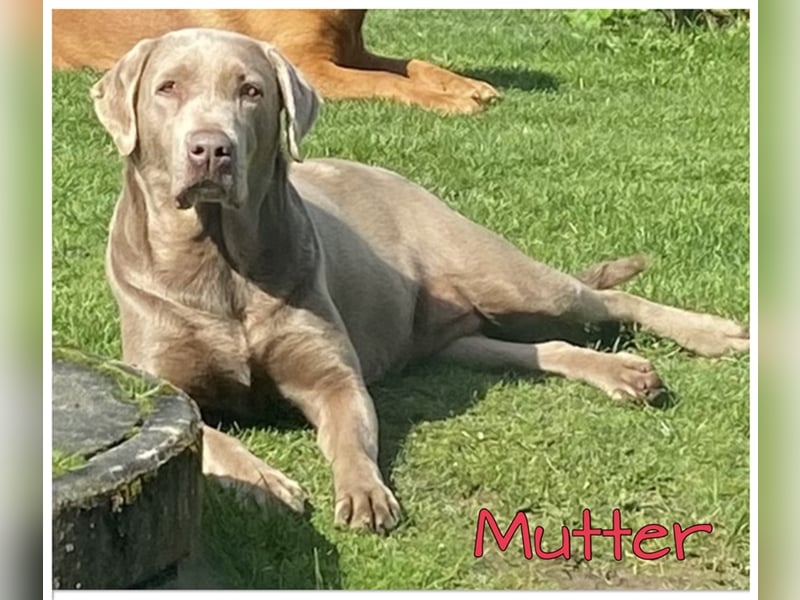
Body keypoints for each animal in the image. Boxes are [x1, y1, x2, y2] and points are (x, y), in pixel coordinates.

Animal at [92, 28, 752, 536]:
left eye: (250, 90)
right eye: (167, 88)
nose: (211, 149)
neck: (220, 264)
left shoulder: (333, 376)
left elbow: (352, 433)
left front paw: (365, 493)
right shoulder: (161, 385)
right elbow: (210, 435)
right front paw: (262, 482)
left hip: (505, 276)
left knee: (605, 297)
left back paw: (713, 335)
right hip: (459, 334)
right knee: (539, 347)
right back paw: (622, 374)